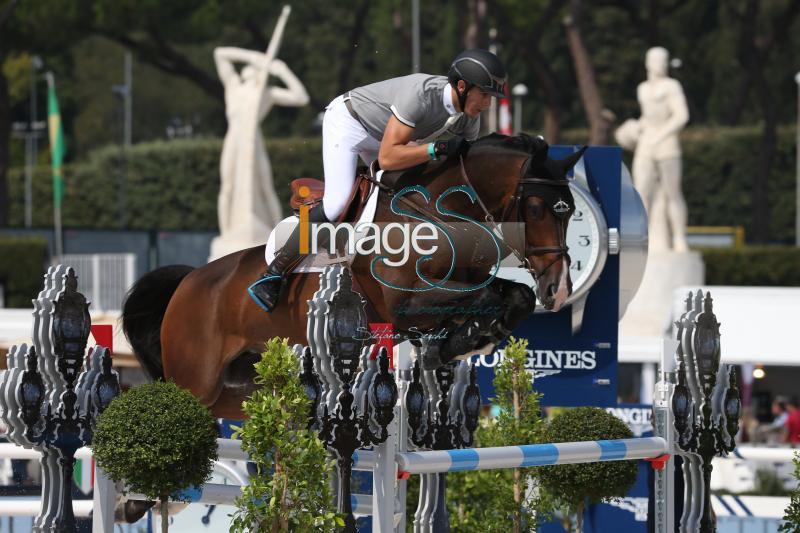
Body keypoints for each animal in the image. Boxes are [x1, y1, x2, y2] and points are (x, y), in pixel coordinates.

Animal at [120, 134, 580, 420]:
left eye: (572, 210)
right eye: (535, 208)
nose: (559, 291)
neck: (436, 213)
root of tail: (189, 282)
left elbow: (511, 296)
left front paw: (468, 339)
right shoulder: (404, 304)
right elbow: (478, 299)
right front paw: (460, 341)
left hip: (239, 390)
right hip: (195, 380)